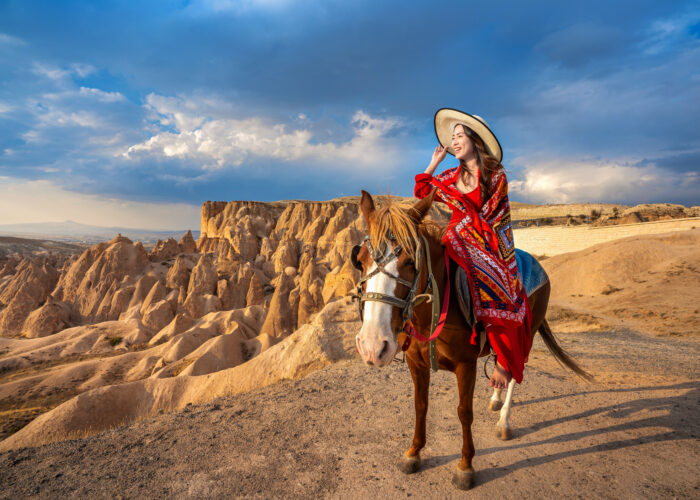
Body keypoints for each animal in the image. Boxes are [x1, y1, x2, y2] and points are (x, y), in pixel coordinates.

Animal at [356, 189, 592, 490]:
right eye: (361, 260)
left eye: (411, 262)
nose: (372, 346)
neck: (435, 311)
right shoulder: (416, 363)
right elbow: (421, 405)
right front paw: (413, 452)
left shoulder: (465, 366)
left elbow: (463, 412)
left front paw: (466, 466)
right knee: (503, 361)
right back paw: (495, 397)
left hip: (528, 333)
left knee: (517, 372)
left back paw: (504, 421)